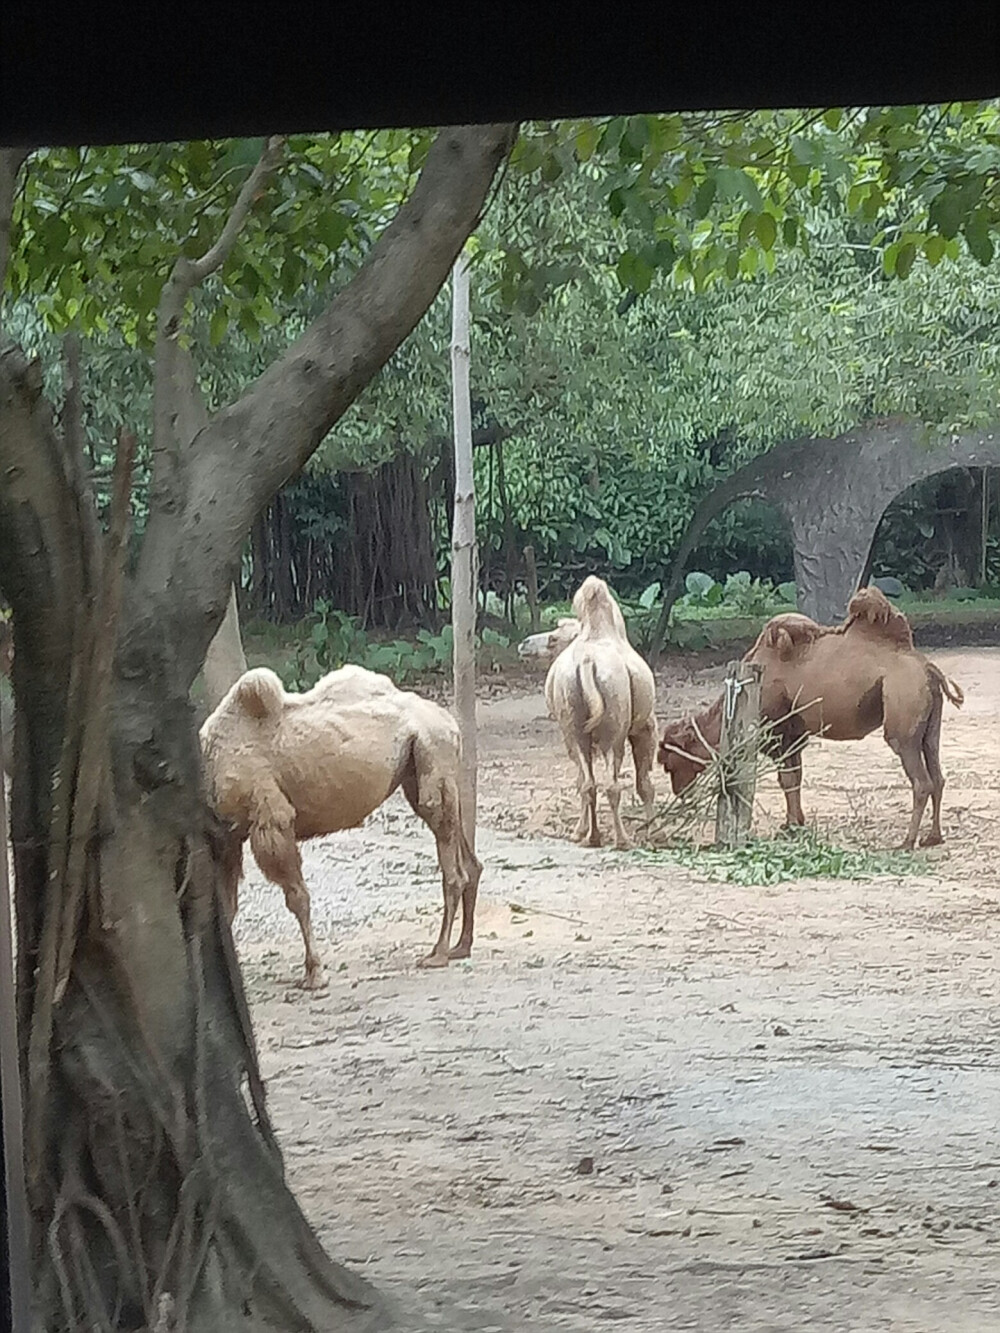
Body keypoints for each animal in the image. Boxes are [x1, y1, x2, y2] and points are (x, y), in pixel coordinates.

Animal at [200, 666, 482, 991]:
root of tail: (449, 721)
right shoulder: (228, 837)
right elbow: (225, 908)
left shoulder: (269, 817)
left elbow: (297, 898)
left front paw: (314, 975)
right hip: (421, 768)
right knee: (466, 855)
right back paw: (461, 946)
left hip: (432, 750)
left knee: (452, 864)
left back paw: (438, 954)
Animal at [520, 575, 661, 847]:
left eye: (554, 638)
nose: (524, 644)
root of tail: (587, 663)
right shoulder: (646, 725)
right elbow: (645, 783)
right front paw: (657, 832)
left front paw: (579, 831)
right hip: (613, 729)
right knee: (611, 783)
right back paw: (621, 839)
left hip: (573, 724)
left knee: (588, 782)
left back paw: (591, 836)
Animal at [661, 589, 965, 847]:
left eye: (669, 762)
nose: (679, 792)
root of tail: (928, 668)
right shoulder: (795, 735)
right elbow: (794, 778)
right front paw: (794, 824)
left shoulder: (778, 733)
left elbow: (787, 780)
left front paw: (791, 825)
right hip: (930, 724)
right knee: (937, 775)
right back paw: (933, 837)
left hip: (903, 709)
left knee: (921, 780)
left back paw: (907, 842)